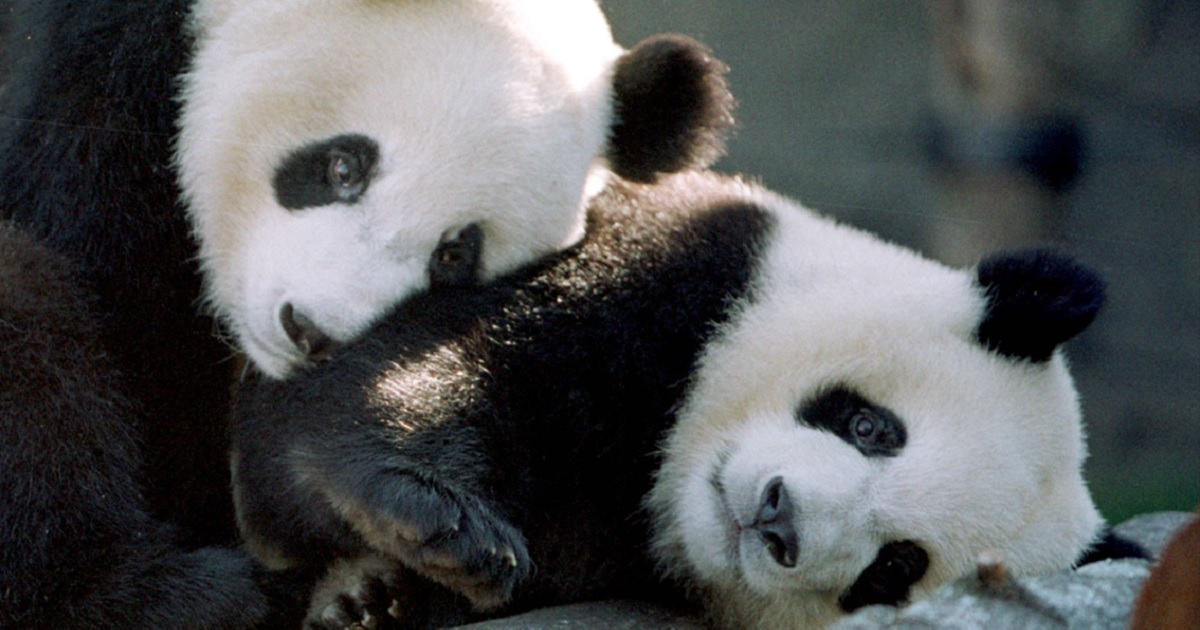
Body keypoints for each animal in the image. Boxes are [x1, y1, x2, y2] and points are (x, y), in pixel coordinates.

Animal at [226, 169, 1132, 624]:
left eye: (894, 568)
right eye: (871, 426)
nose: (776, 518)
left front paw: (376, 595)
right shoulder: (674, 260)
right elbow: (429, 365)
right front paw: (440, 523)